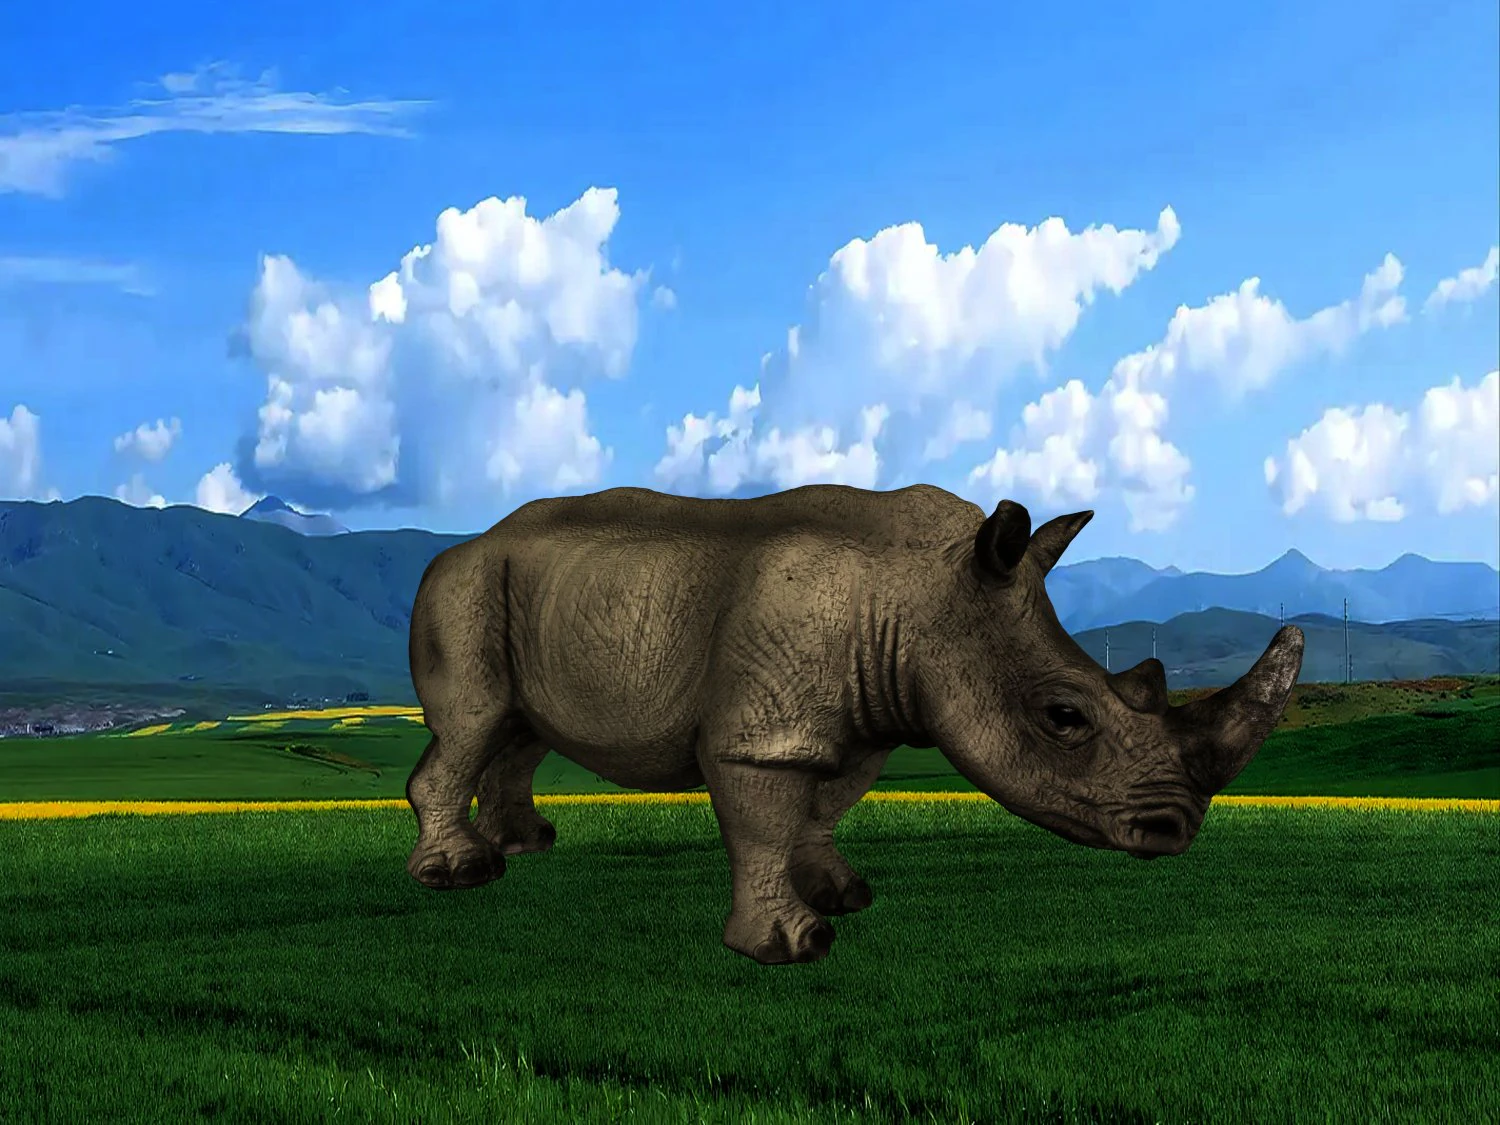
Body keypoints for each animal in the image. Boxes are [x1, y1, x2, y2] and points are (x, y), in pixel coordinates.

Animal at [405, 484, 1303, 964]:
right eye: (1063, 717)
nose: (1175, 832)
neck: (926, 591)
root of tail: (467, 541)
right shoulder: (761, 732)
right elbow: (765, 819)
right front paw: (792, 946)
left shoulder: (868, 714)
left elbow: (822, 808)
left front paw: (844, 894)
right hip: (464, 583)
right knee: (475, 719)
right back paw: (462, 873)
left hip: (536, 592)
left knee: (518, 730)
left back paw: (528, 844)